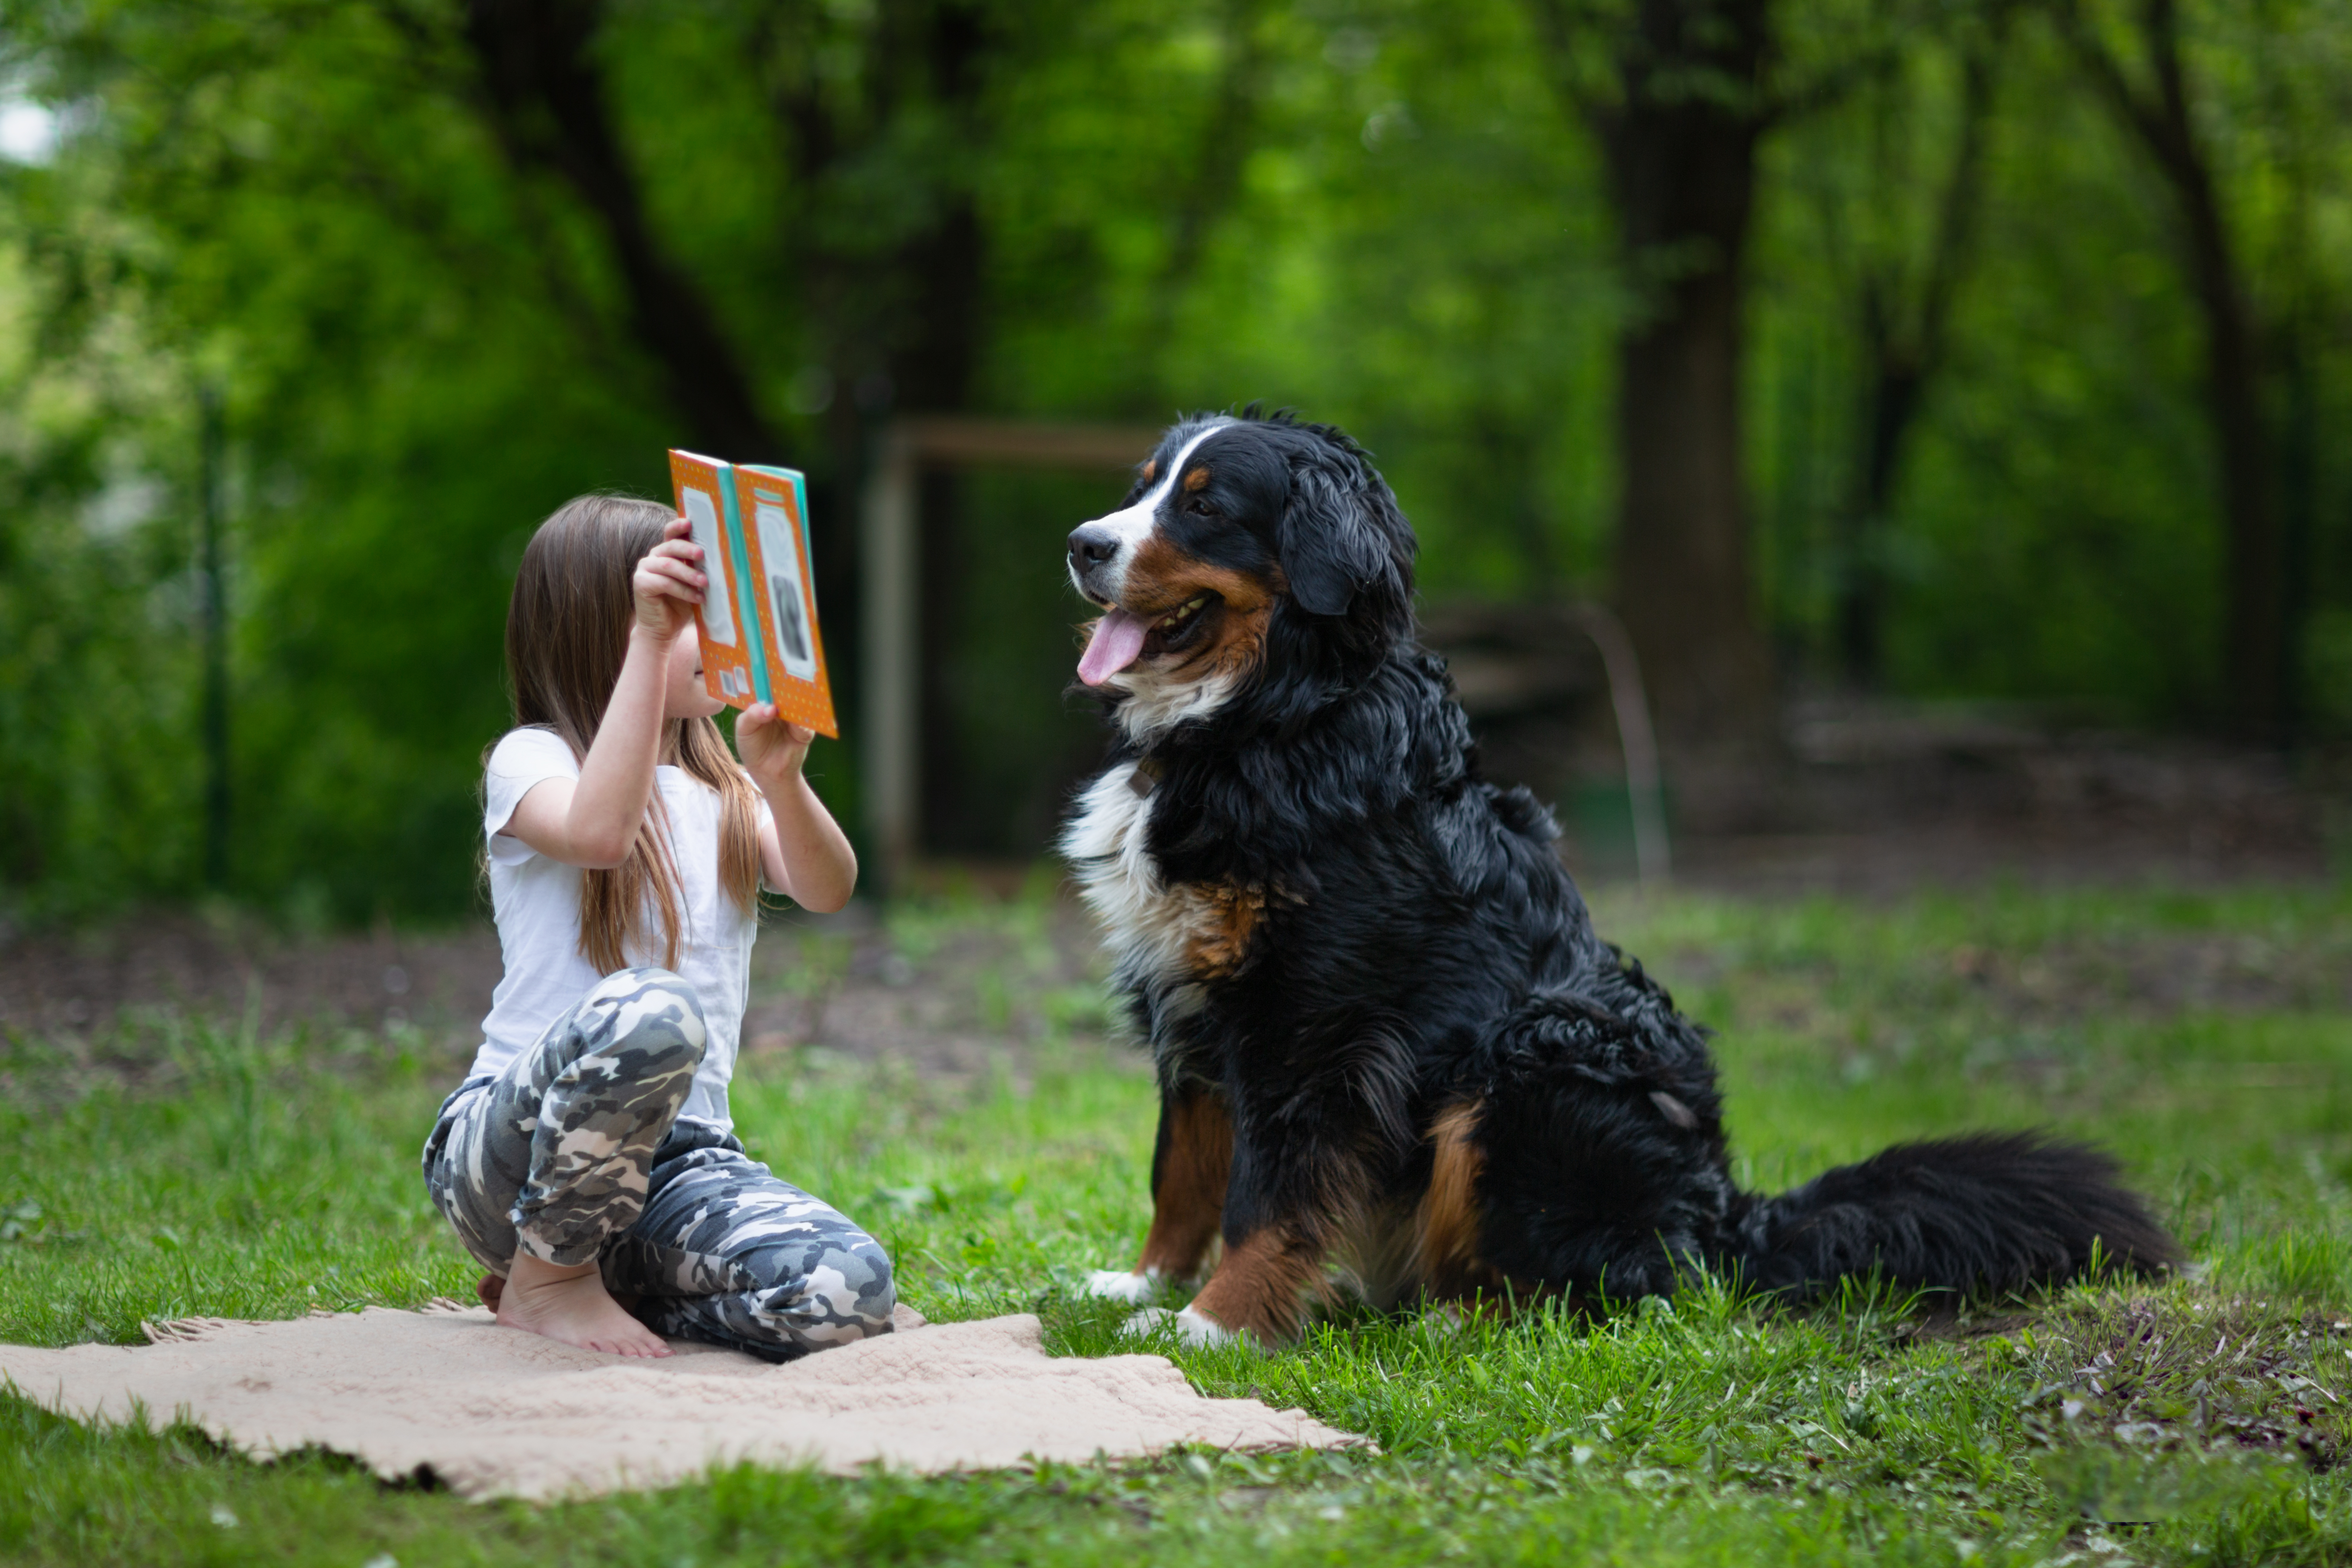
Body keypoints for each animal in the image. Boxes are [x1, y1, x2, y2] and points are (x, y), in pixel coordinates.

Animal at [1058, 409, 2173, 1354]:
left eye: (1206, 506)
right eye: (1143, 485)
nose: (1081, 542)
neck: (1269, 719)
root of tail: (1730, 1221)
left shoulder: (1314, 1021)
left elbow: (1269, 1192)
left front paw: (1214, 1326)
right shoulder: (1189, 994)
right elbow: (1183, 1168)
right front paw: (1142, 1286)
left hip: (1536, 1055)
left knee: (1612, 1285)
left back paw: (1454, 1321)